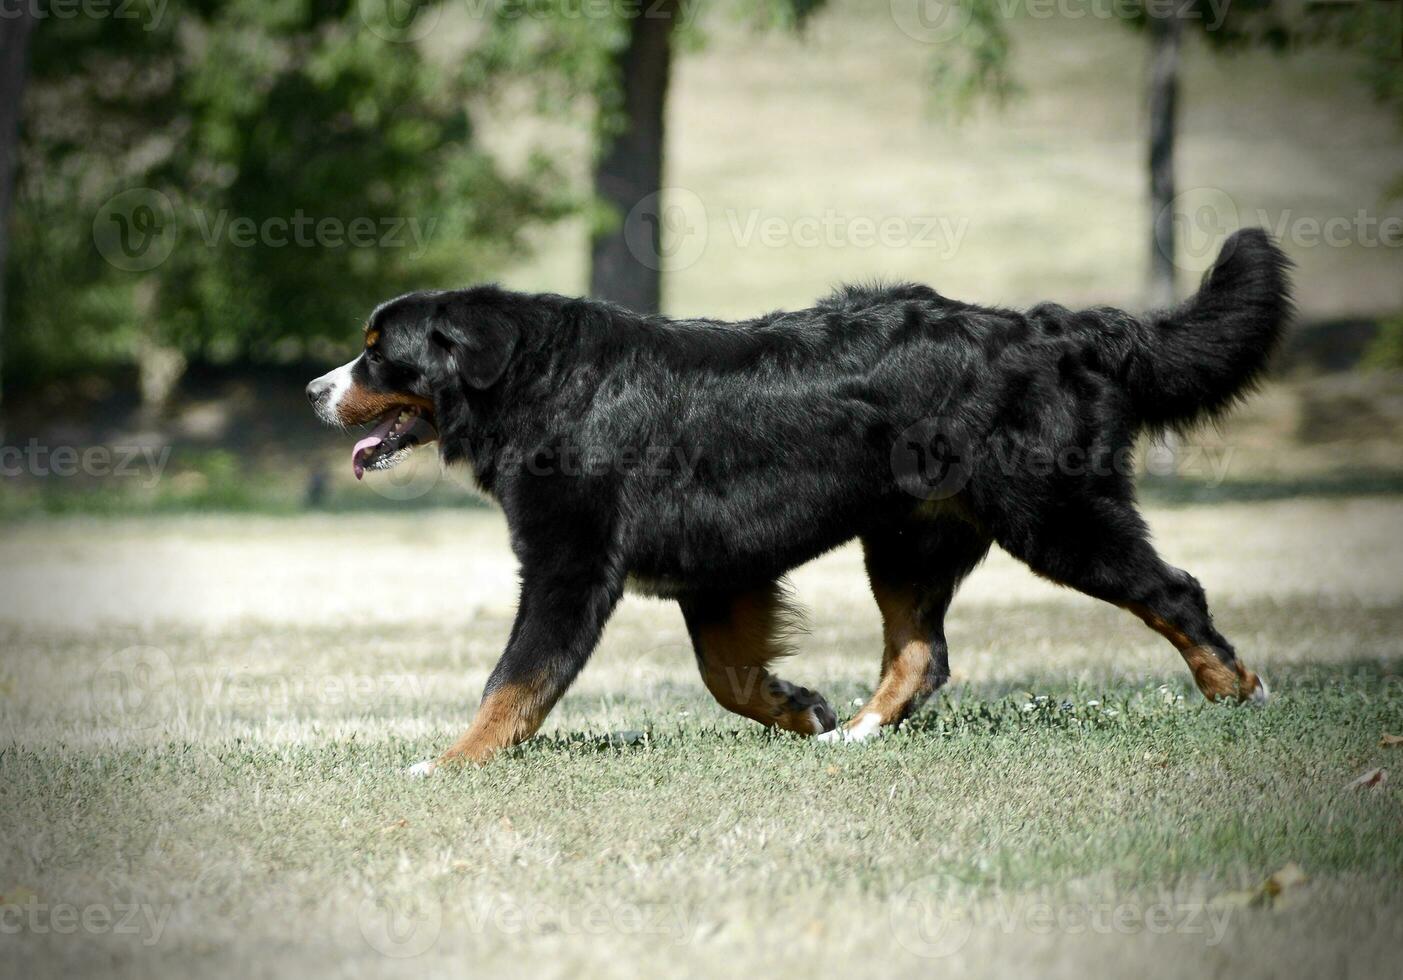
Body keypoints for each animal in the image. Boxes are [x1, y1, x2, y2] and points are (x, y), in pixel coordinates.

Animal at [310, 229, 1290, 773]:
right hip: (908, 539)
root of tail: (1049, 328)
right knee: (920, 653)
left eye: (377, 352)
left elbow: (515, 678)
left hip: (1055, 517)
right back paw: (851, 733)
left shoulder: (570, 563)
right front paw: (799, 708)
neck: (540, 381)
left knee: (1173, 593)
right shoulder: (714, 571)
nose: (316, 390)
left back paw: (1234, 691)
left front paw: (450, 762)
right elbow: (727, 676)